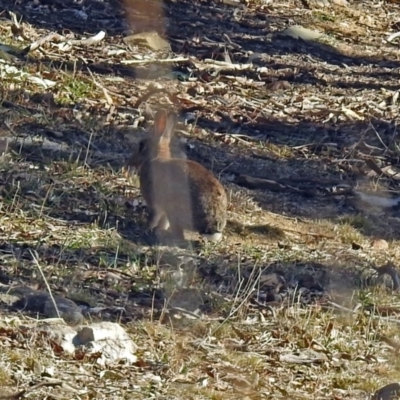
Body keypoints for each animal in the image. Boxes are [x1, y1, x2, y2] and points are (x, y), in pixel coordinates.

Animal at [129, 108, 228, 242]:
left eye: (141, 145)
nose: (131, 160)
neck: (156, 156)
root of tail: (211, 226)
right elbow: (163, 221)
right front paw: (157, 228)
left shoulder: (155, 202)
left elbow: (154, 217)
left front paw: (146, 228)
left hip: (176, 210)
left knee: (179, 235)